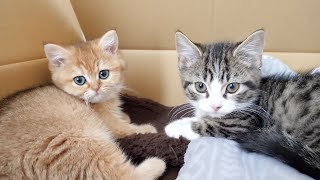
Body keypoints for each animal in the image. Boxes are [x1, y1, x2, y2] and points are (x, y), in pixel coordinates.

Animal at [0, 30, 165, 179]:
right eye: (79, 80)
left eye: (103, 74)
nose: (96, 88)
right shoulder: (111, 125)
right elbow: (126, 129)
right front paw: (145, 128)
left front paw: (124, 115)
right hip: (80, 141)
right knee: (122, 175)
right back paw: (157, 163)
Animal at [165, 29, 320, 179]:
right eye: (200, 86)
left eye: (232, 87)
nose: (216, 106)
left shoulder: (243, 123)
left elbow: (210, 124)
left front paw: (174, 126)